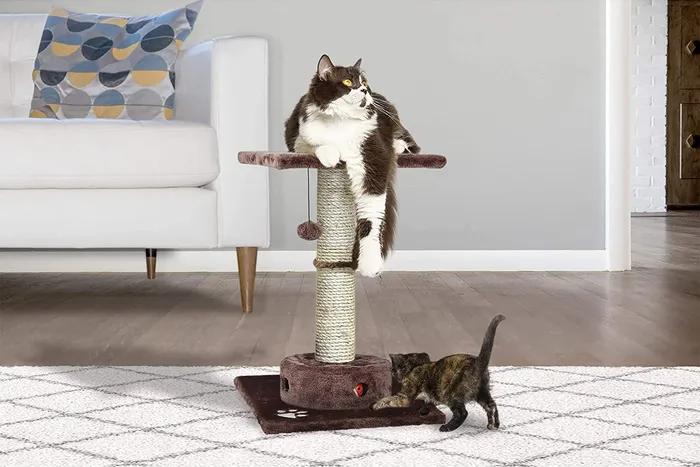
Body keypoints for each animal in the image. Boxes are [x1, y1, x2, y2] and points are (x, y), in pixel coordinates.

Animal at [284, 54, 422, 278]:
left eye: (364, 83)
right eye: (348, 82)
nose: (365, 90)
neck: (341, 122)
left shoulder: (373, 158)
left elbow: (371, 218)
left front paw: (370, 265)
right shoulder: (296, 137)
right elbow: (315, 145)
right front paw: (331, 157)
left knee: (412, 145)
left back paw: (399, 147)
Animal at [374, 316, 506, 434]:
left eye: (395, 368)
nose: (393, 372)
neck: (415, 366)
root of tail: (478, 361)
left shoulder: (404, 397)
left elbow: (389, 400)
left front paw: (375, 405)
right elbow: (428, 402)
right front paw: (423, 411)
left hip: (451, 394)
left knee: (463, 412)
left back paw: (446, 427)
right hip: (482, 393)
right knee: (492, 406)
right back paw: (493, 425)